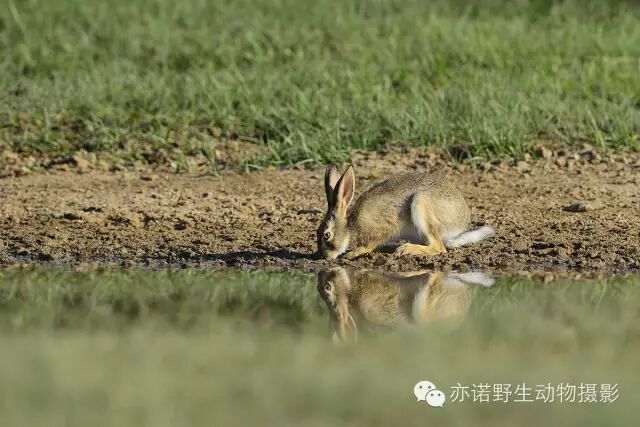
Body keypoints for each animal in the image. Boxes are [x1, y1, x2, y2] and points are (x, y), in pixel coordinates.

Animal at [316, 164, 494, 260]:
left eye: (326, 235)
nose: (324, 256)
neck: (350, 227)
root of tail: (461, 223)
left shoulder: (383, 227)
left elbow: (371, 243)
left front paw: (354, 253)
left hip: (421, 204)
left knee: (438, 247)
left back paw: (405, 249)